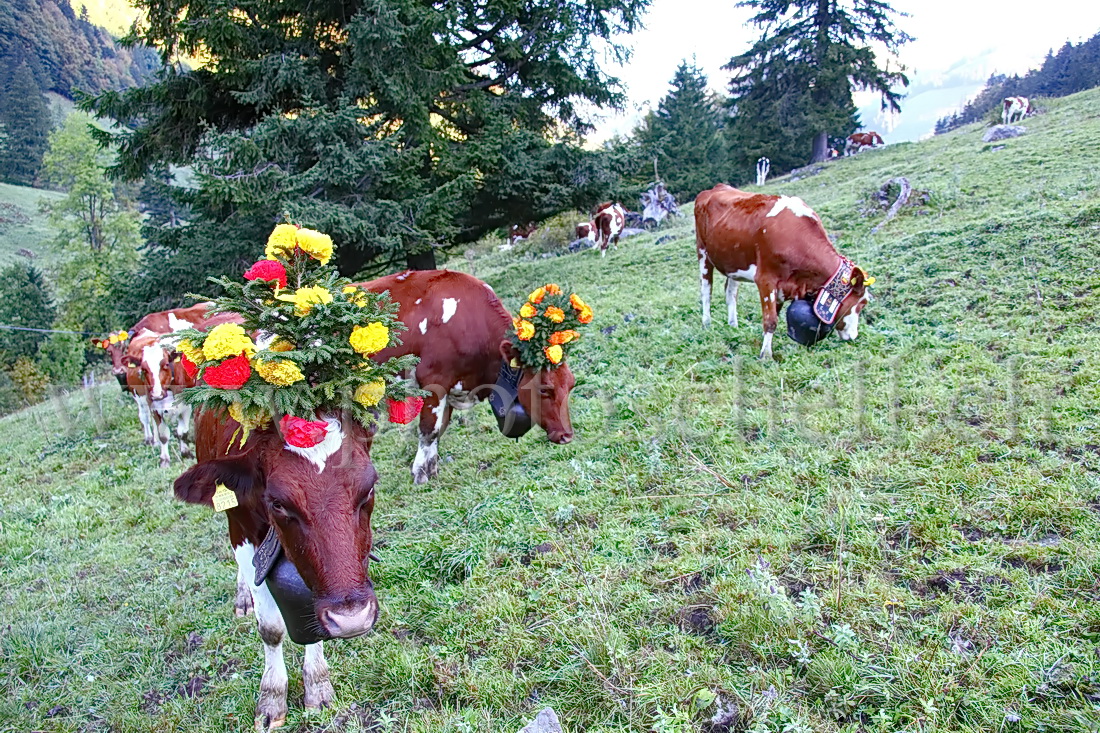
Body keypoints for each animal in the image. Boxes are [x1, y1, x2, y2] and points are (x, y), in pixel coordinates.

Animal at [171, 405, 378, 726]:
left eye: (369, 488)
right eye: (279, 503)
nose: (351, 619)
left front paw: (317, 684)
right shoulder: (241, 528)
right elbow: (270, 627)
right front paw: (271, 697)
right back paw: (243, 598)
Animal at [358, 268, 594, 479]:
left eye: (571, 384)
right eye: (544, 389)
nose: (566, 436)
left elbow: (440, 429)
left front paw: (432, 471)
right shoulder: (434, 382)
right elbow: (429, 429)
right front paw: (420, 475)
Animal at [695, 183, 875, 358]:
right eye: (862, 304)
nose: (853, 336)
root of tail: (715, 188)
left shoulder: (783, 285)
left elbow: (775, 314)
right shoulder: (765, 280)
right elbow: (771, 320)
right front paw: (766, 355)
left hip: (733, 262)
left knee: (730, 293)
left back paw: (733, 326)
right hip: (703, 253)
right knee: (706, 291)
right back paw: (706, 324)